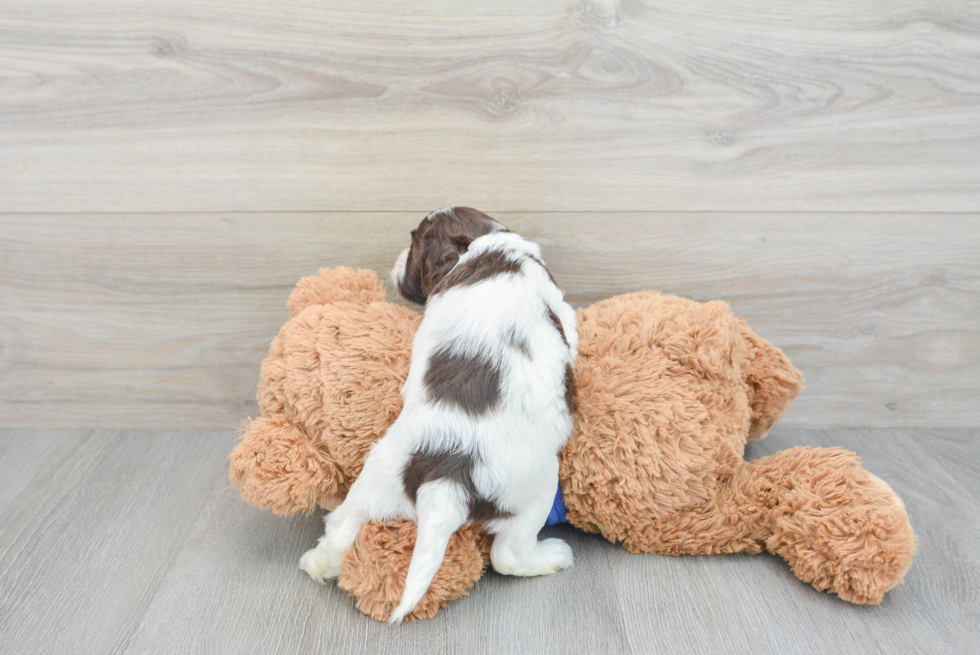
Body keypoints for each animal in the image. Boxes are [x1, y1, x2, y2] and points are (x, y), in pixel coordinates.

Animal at [296, 208, 576, 624]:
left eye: (412, 245)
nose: (397, 260)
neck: (482, 246)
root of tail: (448, 473)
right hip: (537, 487)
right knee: (509, 555)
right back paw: (554, 556)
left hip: (377, 480)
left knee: (341, 530)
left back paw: (315, 563)